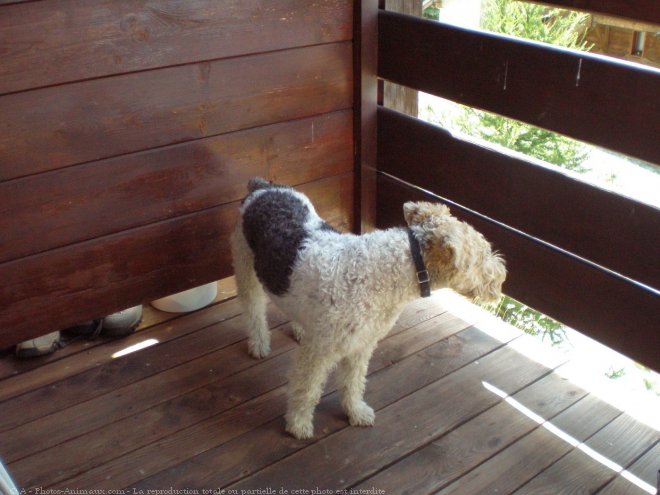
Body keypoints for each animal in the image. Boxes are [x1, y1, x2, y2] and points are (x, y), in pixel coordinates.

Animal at [232, 177, 506, 438]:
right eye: (482, 255)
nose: (502, 277)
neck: (394, 268)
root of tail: (262, 187)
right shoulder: (319, 352)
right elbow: (306, 389)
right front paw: (298, 425)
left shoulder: (361, 345)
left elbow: (353, 382)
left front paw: (356, 412)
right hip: (245, 270)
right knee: (254, 311)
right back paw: (259, 345)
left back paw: (300, 328)